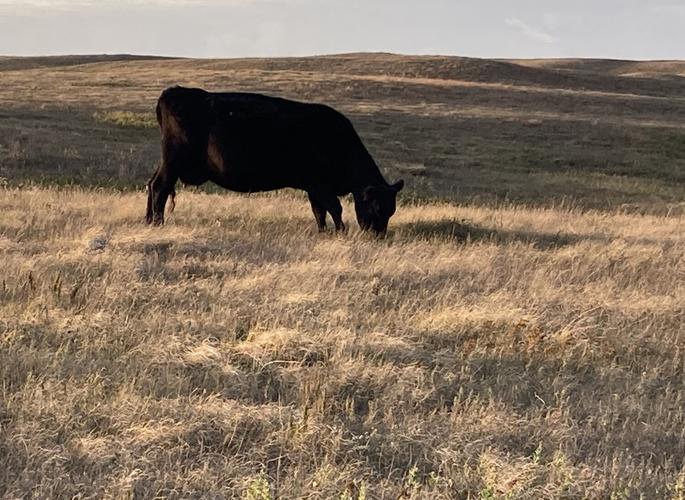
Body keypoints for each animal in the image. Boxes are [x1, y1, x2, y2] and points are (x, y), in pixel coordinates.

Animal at [145, 86, 404, 235]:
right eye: (377, 207)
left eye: (391, 211)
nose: (378, 236)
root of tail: (173, 91)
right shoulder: (320, 184)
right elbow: (335, 208)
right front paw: (341, 232)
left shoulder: (313, 187)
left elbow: (319, 211)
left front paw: (323, 232)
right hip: (173, 159)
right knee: (160, 187)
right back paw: (158, 223)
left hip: (167, 161)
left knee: (151, 184)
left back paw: (148, 221)